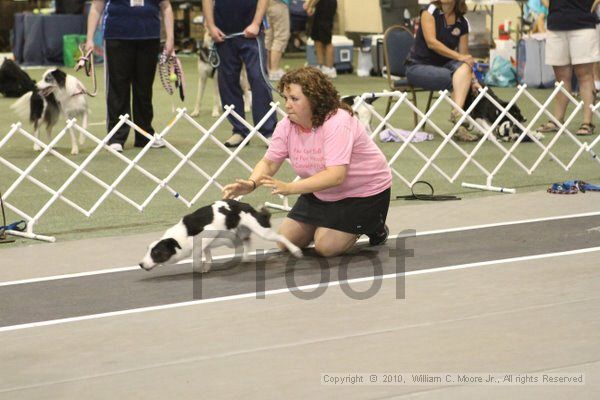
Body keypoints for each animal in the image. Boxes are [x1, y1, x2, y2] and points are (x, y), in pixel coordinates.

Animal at [139, 200, 302, 272]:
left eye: (156, 253)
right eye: (148, 250)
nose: (140, 264)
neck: (181, 236)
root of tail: (248, 207)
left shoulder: (207, 233)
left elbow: (197, 256)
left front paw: (200, 267)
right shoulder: (205, 243)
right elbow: (207, 253)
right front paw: (206, 266)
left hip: (262, 231)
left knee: (281, 238)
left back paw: (296, 251)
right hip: (240, 234)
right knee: (247, 241)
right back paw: (246, 258)